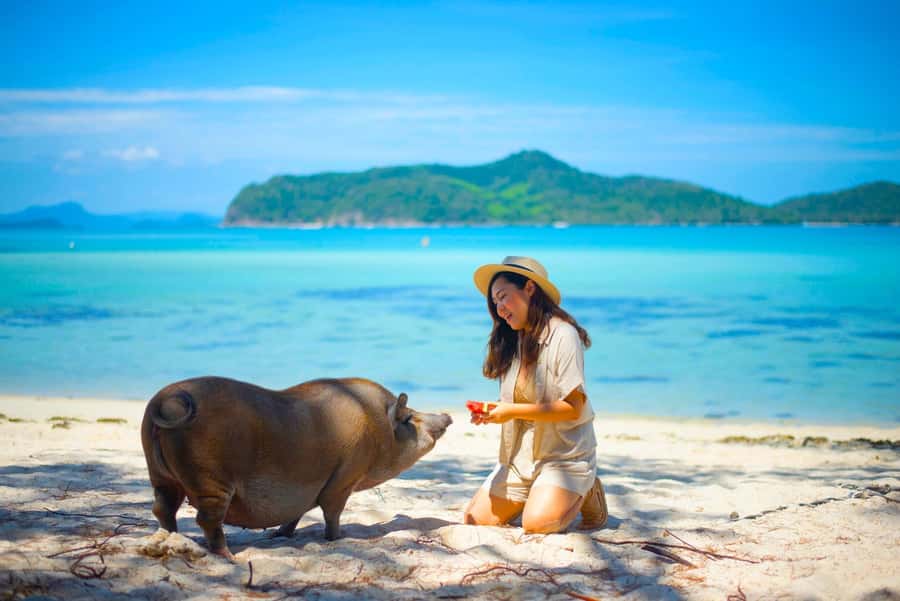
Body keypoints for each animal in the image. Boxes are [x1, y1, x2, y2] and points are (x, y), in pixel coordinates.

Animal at [140, 376, 452, 560]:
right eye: (409, 418)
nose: (448, 415)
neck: (378, 429)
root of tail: (163, 400)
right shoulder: (344, 477)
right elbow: (331, 511)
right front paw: (337, 539)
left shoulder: (309, 488)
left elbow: (297, 512)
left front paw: (280, 535)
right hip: (208, 478)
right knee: (206, 519)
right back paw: (229, 557)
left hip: (161, 476)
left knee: (162, 508)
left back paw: (169, 538)